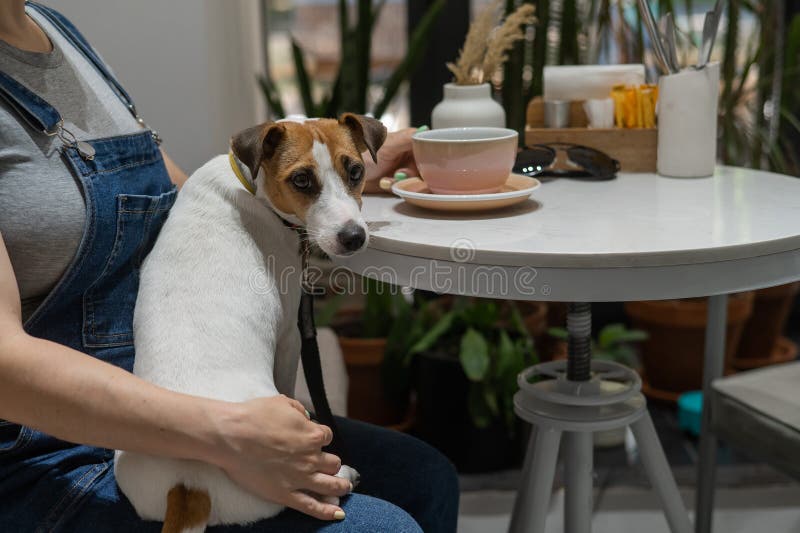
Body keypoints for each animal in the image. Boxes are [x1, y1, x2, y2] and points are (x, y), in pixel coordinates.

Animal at [113, 113, 388, 532]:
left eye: (355, 170)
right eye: (301, 180)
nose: (354, 237)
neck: (250, 185)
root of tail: (188, 483)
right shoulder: (290, 335)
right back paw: (343, 474)